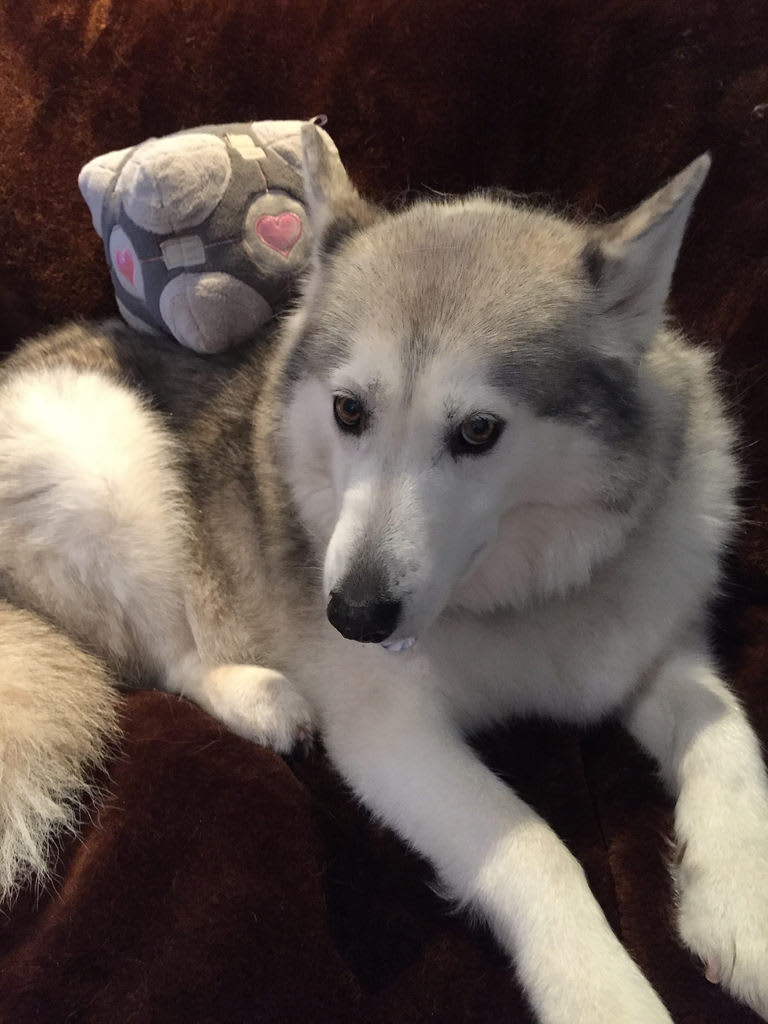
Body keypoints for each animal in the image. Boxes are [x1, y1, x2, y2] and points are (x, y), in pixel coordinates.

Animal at [1, 126, 767, 1023]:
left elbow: (728, 733)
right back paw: (261, 697)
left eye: (479, 431)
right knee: (172, 654)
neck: (525, 588)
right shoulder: (391, 733)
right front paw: (604, 995)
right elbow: (531, 846)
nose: (353, 618)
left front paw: (743, 905)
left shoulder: (654, 650)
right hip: (100, 453)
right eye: (348, 411)